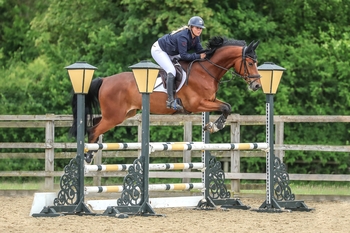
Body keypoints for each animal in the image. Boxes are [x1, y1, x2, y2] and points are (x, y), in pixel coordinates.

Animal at [69, 36, 262, 164]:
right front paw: (215, 126)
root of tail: (105, 80)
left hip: (123, 114)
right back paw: (87, 156)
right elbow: (226, 107)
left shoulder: (209, 101)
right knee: (93, 130)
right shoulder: (197, 104)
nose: (257, 85)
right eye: (250, 63)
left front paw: (211, 126)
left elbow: (226, 106)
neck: (206, 71)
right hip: (114, 116)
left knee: (94, 122)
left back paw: (91, 153)